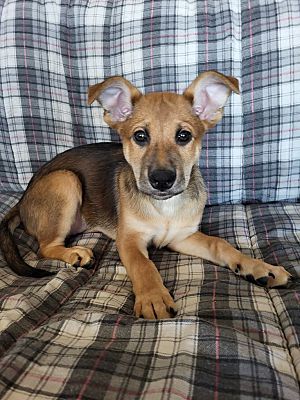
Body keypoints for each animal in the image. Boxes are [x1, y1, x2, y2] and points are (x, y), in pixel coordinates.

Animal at [0, 70, 290, 318]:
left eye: (184, 136)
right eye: (140, 136)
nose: (162, 180)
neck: (164, 207)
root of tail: (23, 198)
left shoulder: (181, 237)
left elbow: (220, 244)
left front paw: (259, 267)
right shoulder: (129, 239)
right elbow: (144, 265)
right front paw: (154, 298)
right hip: (64, 180)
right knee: (44, 247)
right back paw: (74, 254)